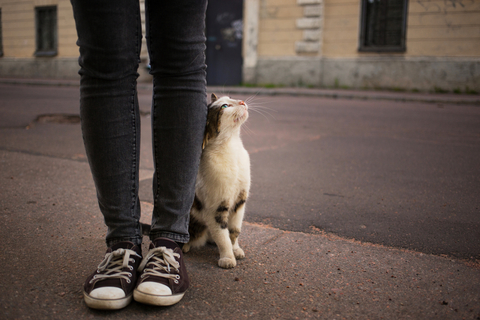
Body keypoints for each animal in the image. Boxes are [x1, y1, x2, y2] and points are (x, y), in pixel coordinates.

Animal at [182, 94, 251, 268]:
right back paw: (185, 245)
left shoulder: (240, 201)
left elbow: (234, 230)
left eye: (230, 98)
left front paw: (236, 249)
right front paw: (227, 258)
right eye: (224, 106)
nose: (242, 101)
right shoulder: (216, 208)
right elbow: (222, 236)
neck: (232, 147)